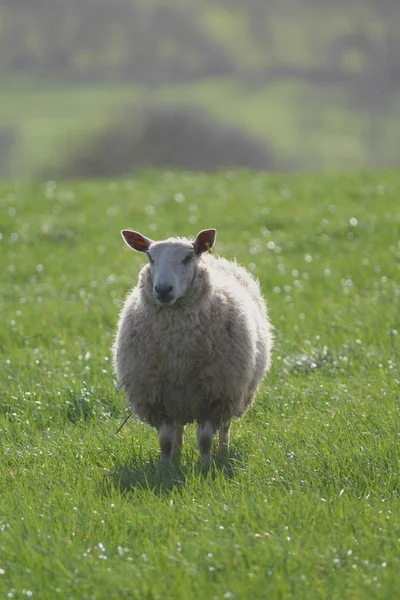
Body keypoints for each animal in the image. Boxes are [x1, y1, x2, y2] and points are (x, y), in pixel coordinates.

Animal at [112, 227, 274, 466]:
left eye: (187, 257)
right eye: (150, 257)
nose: (163, 289)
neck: (179, 347)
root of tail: (216, 260)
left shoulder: (217, 396)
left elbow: (205, 439)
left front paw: (206, 467)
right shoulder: (158, 398)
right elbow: (165, 441)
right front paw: (166, 468)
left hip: (234, 392)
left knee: (225, 428)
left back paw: (223, 452)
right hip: (179, 397)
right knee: (178, 429)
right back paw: (178, 455)